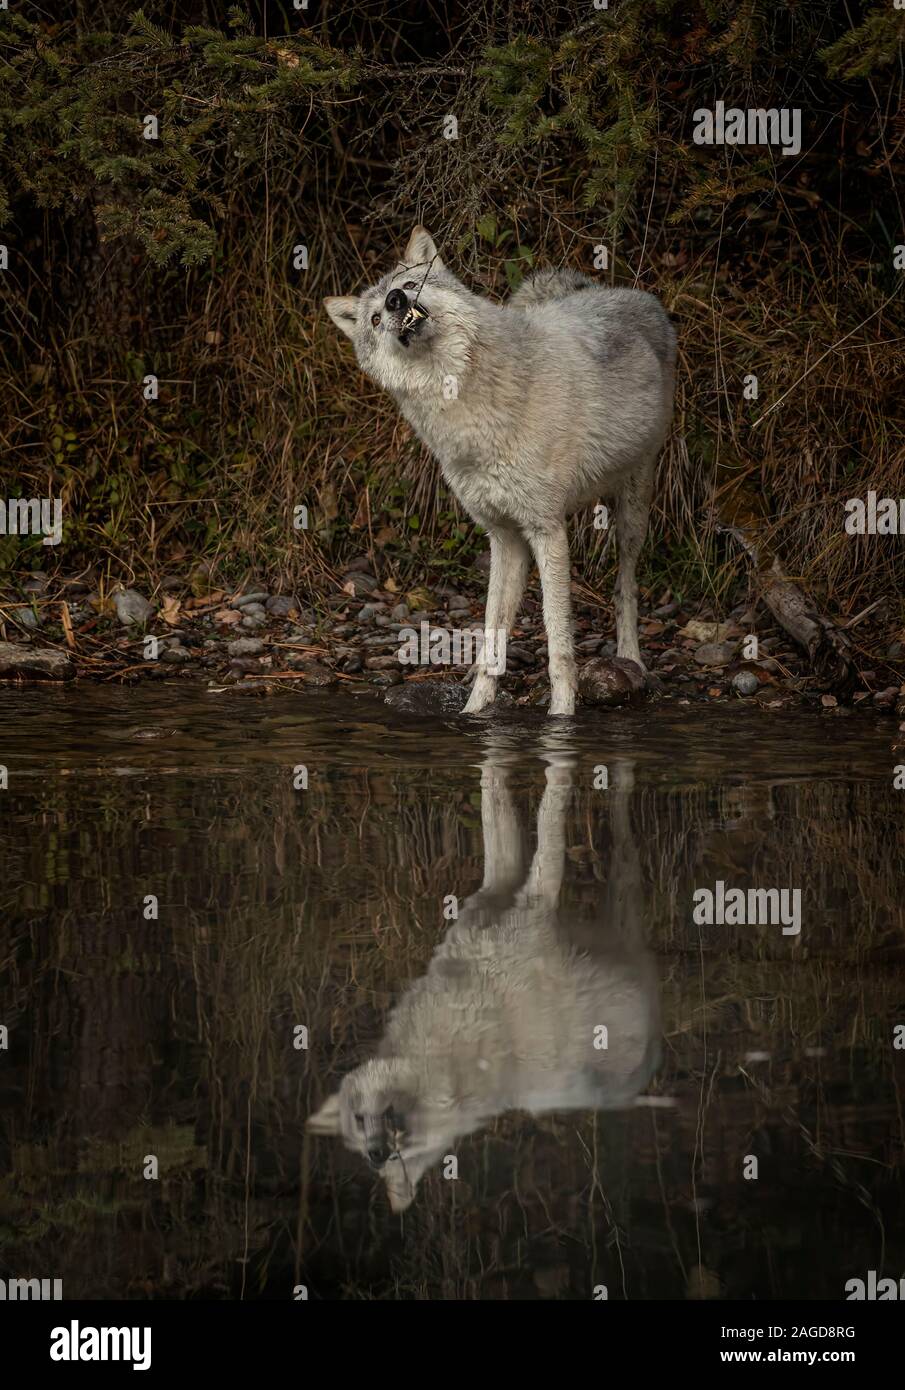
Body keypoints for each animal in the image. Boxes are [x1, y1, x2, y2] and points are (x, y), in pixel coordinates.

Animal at [307, 737, 662, 1212]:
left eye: (403, 1151)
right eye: (359, 1120)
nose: (376, 1153)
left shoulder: (530, 898)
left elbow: (547, 797)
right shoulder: (500, 889)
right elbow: (498, 791)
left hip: (623, 904)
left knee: (621, 829)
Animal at [325, 227, 676, 715]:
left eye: (410, 284)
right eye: (375, 319)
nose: (396, 301)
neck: (467, 411)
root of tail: (625, 291)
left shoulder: (547, 529)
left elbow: (558, 642)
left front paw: (561, 716)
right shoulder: (503, 537)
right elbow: (492, 635)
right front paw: (475, 711)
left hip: (634, 508)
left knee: (626, 584)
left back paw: (631, 658)